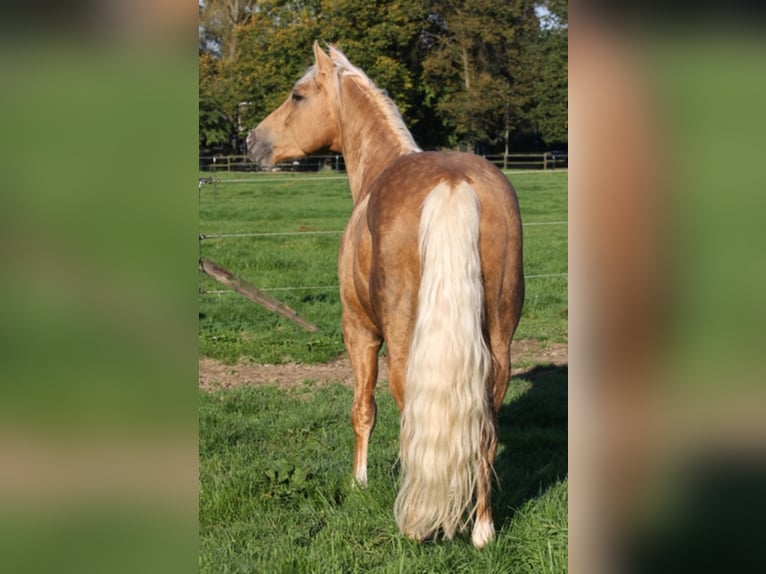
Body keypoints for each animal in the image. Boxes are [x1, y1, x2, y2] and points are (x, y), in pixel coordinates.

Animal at [249, 41, 524, 548]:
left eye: (298, 96)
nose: (251, 142)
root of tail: (454, 184)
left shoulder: (358, 330)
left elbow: (363, 408)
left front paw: (359, 482)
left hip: (398, 342)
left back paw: (415, 522)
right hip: (499, 343)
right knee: (484, 428)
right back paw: (482, 530)